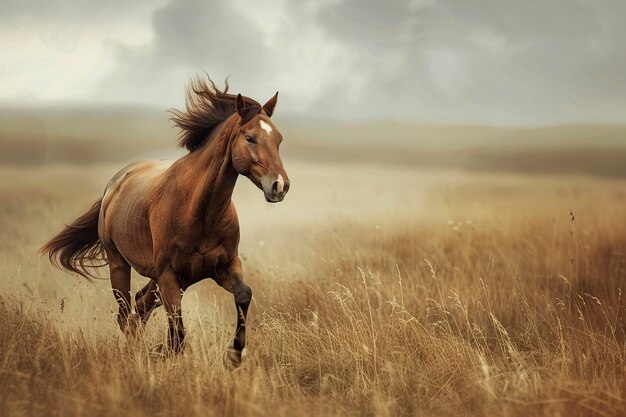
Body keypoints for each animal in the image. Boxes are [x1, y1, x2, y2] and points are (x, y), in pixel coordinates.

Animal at [40, 76, 288, 366]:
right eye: (249, 138)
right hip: (120, 264)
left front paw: (235, 355)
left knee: (140, 306)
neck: (199, 211)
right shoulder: (169, 275)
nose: (280, 186)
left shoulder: (224, 266)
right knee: (126, 312)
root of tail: (113, 185)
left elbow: (243, 294)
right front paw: (162, 353)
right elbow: (178, 335)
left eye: (279, 139)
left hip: (172, 279)